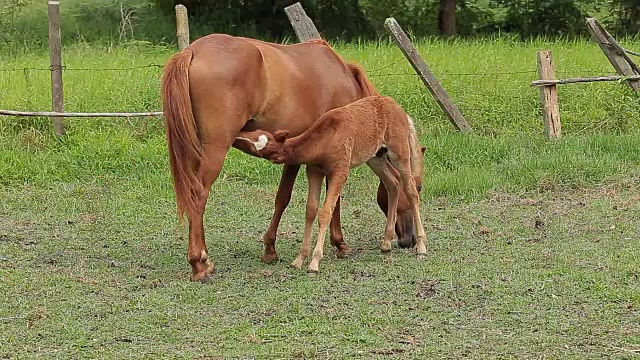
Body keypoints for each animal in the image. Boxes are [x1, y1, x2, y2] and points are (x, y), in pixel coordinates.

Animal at [235, 95, 424, 272]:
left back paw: (421, 246)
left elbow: (325, 212)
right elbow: (311, 210)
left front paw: (315, 262)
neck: (325, 139)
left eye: (256, 148)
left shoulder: (340, 171)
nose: (238, 135)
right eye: (256, 133)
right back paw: (386, 243)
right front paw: (299, 259)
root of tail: (402, 112)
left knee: (410, 190)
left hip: (399, 153)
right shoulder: (314, 171)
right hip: (375, 157)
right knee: (392, 183)